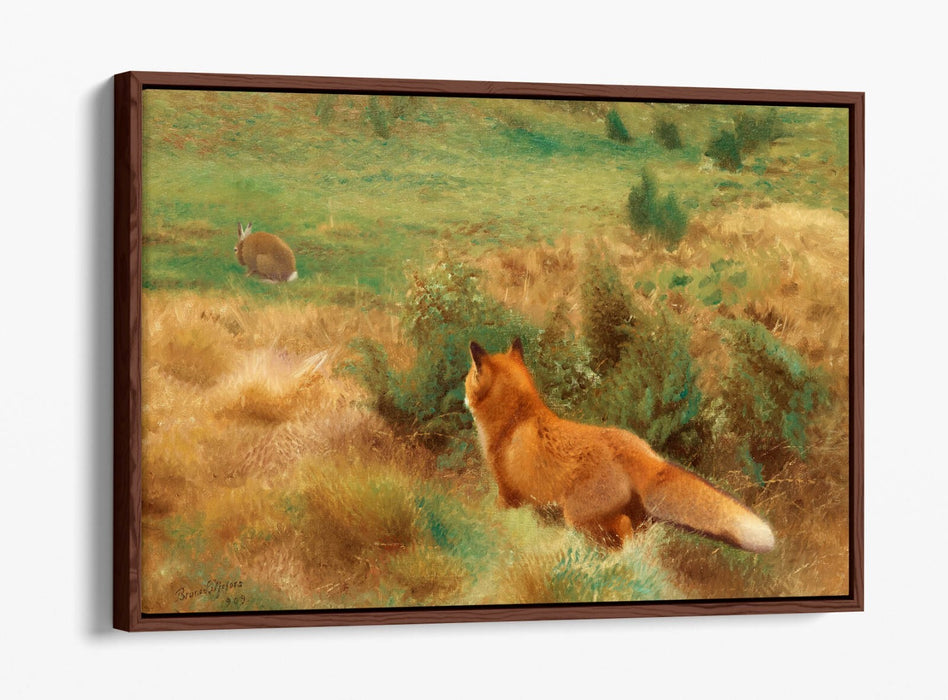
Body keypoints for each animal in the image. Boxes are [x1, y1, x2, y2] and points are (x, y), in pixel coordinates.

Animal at [464, 338, 775, 553]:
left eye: (468, 378)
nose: (463, 395)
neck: (515, 419)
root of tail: (644, 454)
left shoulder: (508, 494)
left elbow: (495, 515)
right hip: (634, 518)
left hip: (579, 517)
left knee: (618, 534)